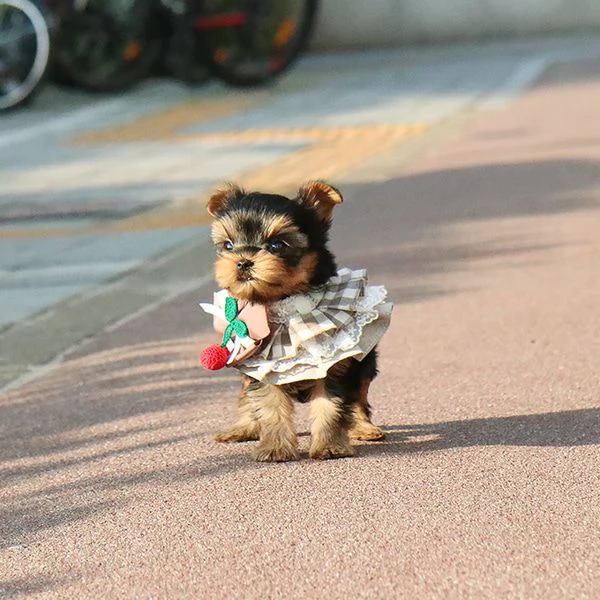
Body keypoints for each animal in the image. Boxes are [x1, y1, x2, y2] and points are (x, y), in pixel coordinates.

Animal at [205, 180, 394, 462]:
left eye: (277, 245)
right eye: (228, 246)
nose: (242, 262)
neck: (287, 305)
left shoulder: (335, 364)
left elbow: (332, 405)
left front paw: (329, 446)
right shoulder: (264, 368)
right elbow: (268, 405)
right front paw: (275, 448)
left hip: (365, 362)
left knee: (360, 394)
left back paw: (363, 427)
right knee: (246, 393)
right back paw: (244, 427)